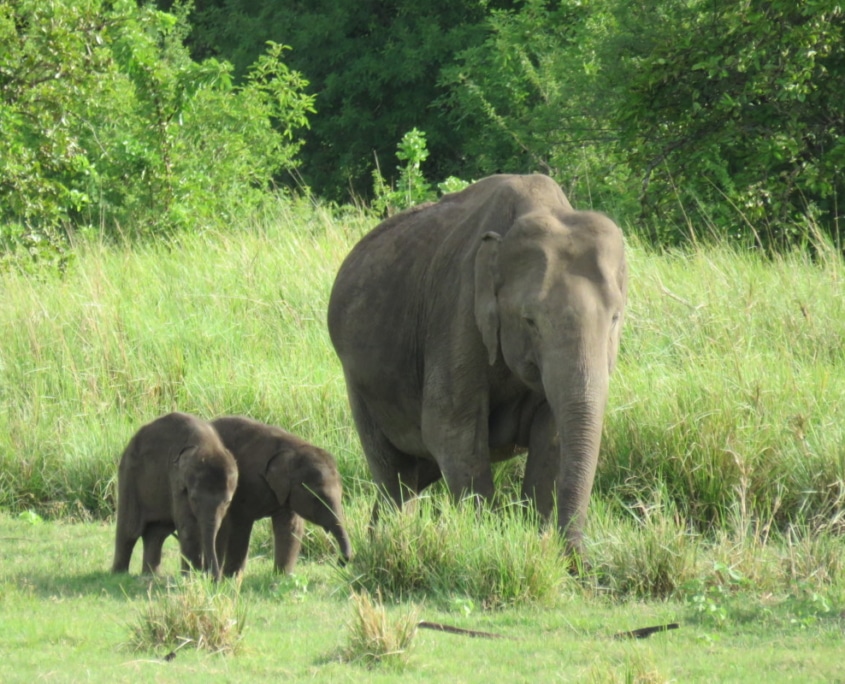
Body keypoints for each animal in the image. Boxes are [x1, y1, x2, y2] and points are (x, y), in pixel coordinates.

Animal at [111, 412, 238, 581]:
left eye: (227, 502)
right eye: (193, 499)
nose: (215, 579)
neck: (207, 446)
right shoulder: (176, 480)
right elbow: (189, 528)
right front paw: (190, 578)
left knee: (157, 533)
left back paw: (152, 575)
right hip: (129, 476)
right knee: (129, 530)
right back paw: (119, 574)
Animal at [211, 416, 352, 575]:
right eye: (316, 498)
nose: (339, 562)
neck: (294, 450)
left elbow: (291, 527)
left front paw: (282, 577)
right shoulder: (246, 485)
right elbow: (240, 524)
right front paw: (231, 577)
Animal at [327, 173, 627, 555]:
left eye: (615, 317)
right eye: (529, 321)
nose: (577, 561)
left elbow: (553, 437)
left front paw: (536, 539)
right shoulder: (459, 311)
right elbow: (452, 431)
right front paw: (492, 539)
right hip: (359, 383)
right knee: (392, 472)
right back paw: (386, 542)